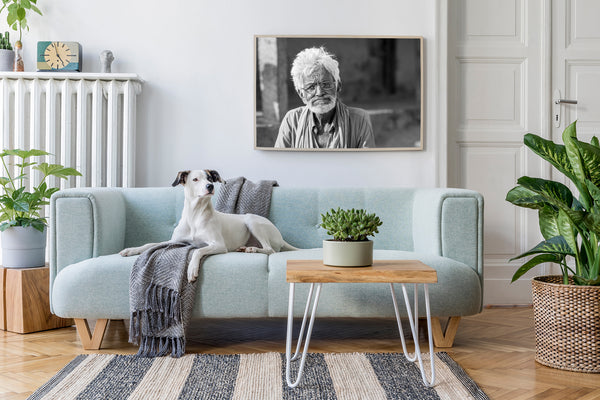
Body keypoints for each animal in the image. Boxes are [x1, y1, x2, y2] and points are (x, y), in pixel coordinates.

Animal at [118, 169, 296, 282]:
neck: (195, 215)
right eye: (195, 179)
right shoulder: (174, 241)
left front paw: (192, 269)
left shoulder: (218, 245)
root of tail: (281, 237)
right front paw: (131, 250)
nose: (210, 186)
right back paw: (246, 247)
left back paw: (252, 249)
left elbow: (197, 251)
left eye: (210, 178)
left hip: (251, 220)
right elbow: (150, 244)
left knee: (270, 249)